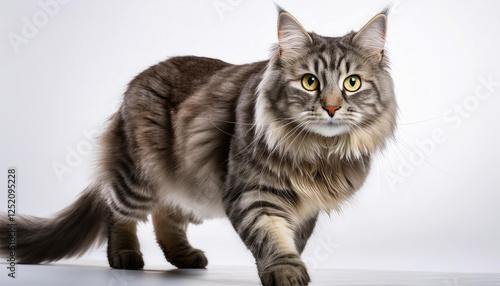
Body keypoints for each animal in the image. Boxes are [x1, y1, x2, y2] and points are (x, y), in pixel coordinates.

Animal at [0, 5, 398, 286]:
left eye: (351, 83)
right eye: (310, 81)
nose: (331, 108)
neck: (318, 152)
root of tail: (137, 81)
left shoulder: (306, 207)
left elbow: (292, 238)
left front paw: (287, 264)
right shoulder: (253, 192)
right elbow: (271, 235)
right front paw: (285, 271)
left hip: (191, 188)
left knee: (165, 215)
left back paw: (185, 257)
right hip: (140, 175)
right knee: (119, 212)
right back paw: (125, 255)